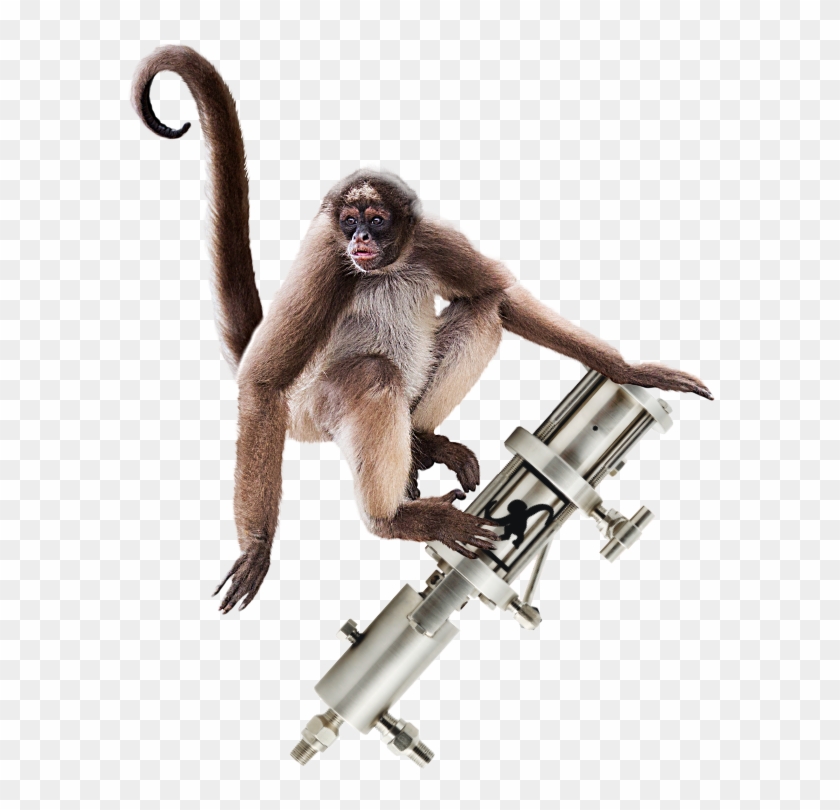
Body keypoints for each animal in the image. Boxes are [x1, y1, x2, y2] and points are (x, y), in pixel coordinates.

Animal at [131, 45, 713, 613]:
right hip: (309, 409)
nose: (361, 238)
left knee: (480, 312)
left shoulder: (432, 239)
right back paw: (392, 519)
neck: (384, 267)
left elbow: (495, 295)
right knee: (371, 374)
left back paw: (423, 439)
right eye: (349, 221)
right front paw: (257, 547)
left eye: (378, 219)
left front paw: (628, 369)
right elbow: (262, 382)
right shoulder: (326, 257)